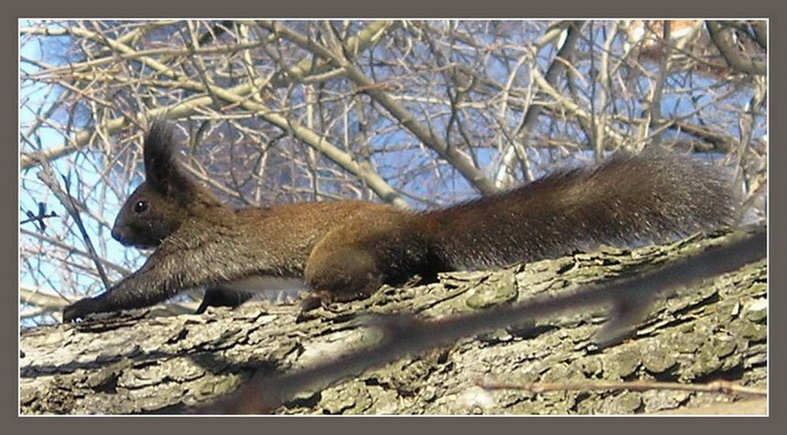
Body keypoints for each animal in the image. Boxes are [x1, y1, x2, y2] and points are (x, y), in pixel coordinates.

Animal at [62, 121, 737, 322]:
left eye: (140, 205)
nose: (116, 234)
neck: (197, 212)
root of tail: (415, 226)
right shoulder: (221, 272)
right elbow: (220, 298)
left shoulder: (189, 250)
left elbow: (144, 287)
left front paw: (81, 306)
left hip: (336, 252)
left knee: (368, 278)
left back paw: (321, 297)